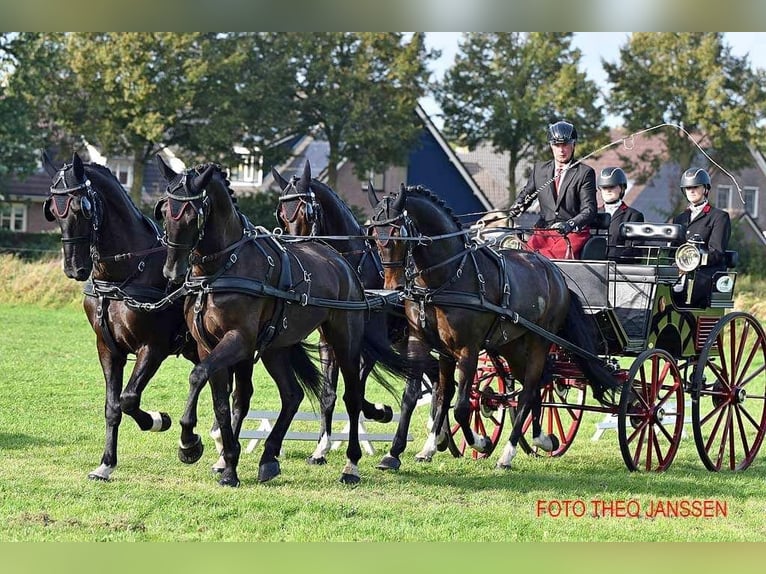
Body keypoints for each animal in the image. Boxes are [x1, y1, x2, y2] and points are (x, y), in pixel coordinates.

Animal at [42, 152, 200, 482]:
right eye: (52, 210)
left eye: (83, 207)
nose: (74, 268)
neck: (124, 274)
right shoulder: (107, 349)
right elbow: (113, 406)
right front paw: (106, 463)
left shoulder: (153, 348)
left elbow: (129, 398)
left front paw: (158, 420)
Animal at [153, 158, 412, 486]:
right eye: (164, 210)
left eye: (191, 213)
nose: (171, 271)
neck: (222, 268)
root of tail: (341, 261)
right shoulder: (207, 345)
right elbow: (222, 400)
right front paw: (227, 462)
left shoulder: (238, 341)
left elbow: (199, 377)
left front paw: (189, 443)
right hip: (277, 347)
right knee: (292, 394)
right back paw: (268, 457)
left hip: (345, 340)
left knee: (353, 397)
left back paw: (351, 464)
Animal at [274, 164, 450, 470]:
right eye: (282, 215)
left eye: (308, 212)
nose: (298, 250)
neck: (351, 265)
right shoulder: (328, 343)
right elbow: (329, 394)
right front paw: (321, 448)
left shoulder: (365, 346)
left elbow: (356, 389)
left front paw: (380, 411)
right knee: (436, 376)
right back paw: (436, 441)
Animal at [368, 187, 620, 470]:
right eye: (373, 236)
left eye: (399, 234)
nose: (394, 288)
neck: (446, 278)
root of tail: (556, 273)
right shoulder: (426, 345)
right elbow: (426, 396)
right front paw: (403, 452)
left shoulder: (468, 350)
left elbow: (462, 406)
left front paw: (480, 442)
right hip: (513, 346)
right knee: (538, 387)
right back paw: (542, 439)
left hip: (539, 342)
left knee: (528, 391)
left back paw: (507, 454)